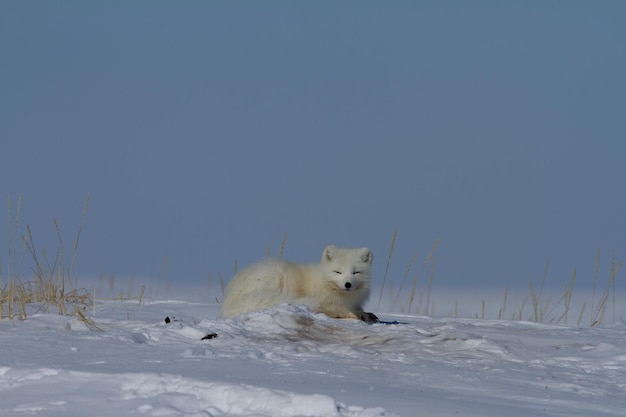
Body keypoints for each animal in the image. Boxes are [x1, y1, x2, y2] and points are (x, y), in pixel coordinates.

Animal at [219, 244, 376, 322]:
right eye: (338, 272)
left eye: (356, 272)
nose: (348, 284)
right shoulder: (327, 303)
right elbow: (341, 311)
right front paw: (358, 315)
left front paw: (367, 314)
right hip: (274, 275)